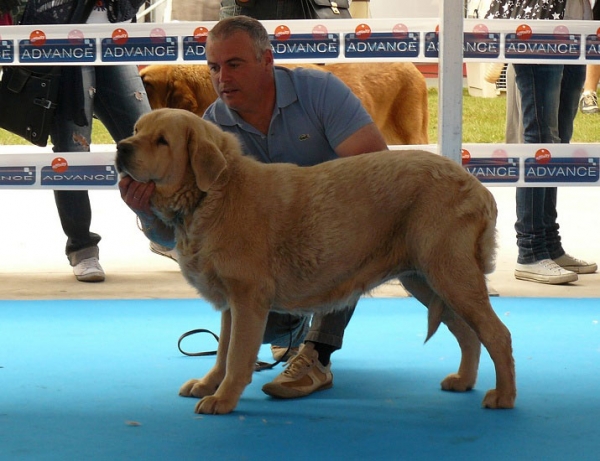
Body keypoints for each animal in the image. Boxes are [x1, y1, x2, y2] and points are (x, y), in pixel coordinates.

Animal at [116, 109, 516, 416]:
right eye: (136, 130)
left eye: (162, 141)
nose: (121, 147)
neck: (211, 194)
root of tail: (476, 185)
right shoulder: (231, 303)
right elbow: (223, 352)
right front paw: (207, 385)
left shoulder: (247, 299)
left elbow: (237, 357)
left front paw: (223, 399)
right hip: (425, 280)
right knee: (468, 333)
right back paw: (463, 381)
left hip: (450, 274)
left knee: (497, 334)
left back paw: (504, 396)